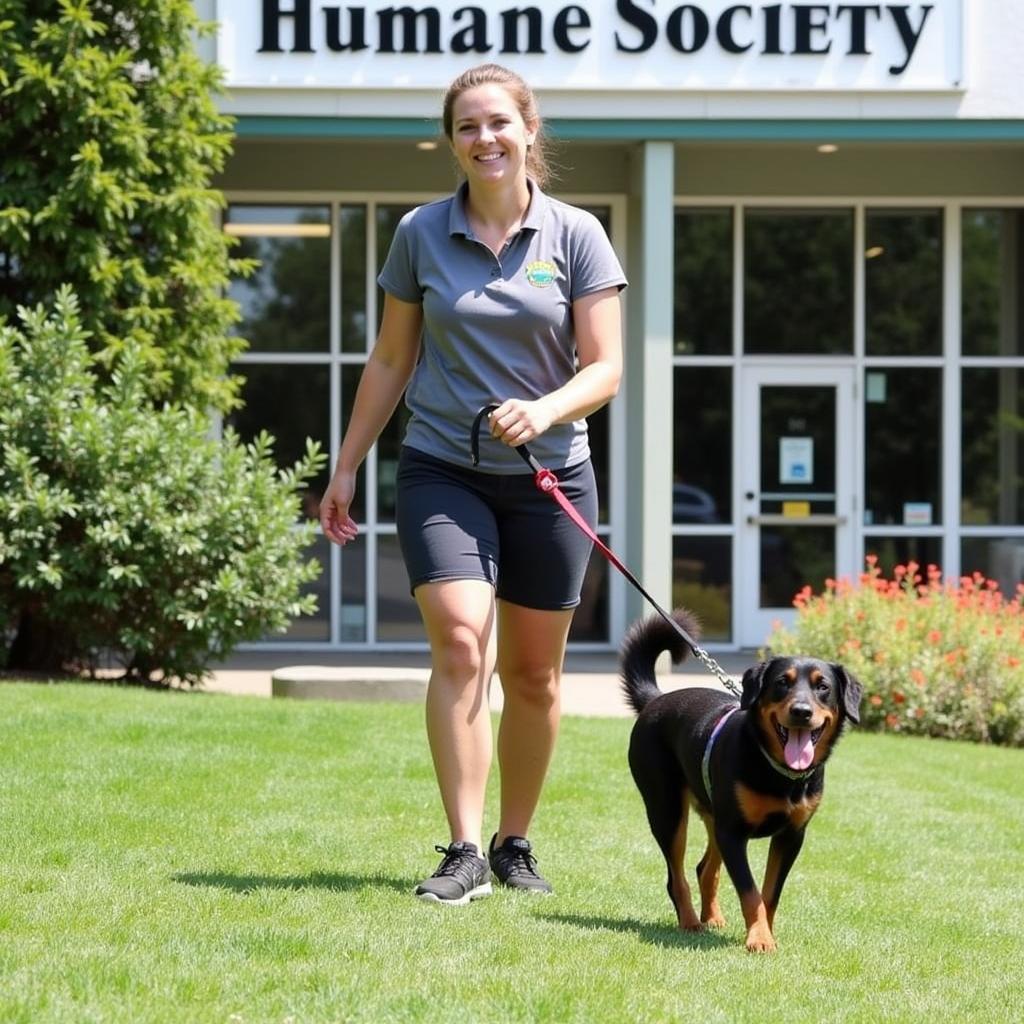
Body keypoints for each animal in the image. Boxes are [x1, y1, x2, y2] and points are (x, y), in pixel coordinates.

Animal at [618, 606, 860, 950]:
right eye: (782, 683)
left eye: (822, 686)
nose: (801, 711)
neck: (779, 773)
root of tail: (655, 700)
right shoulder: (733, 833)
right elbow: (750, 892)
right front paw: (759, 939)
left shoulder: (791, 836)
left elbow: (770, 893)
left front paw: (765, 931)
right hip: (667, 811)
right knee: (676, 876)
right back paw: (690, 922)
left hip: (712, 816)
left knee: (704, 869)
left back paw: (712, 918)